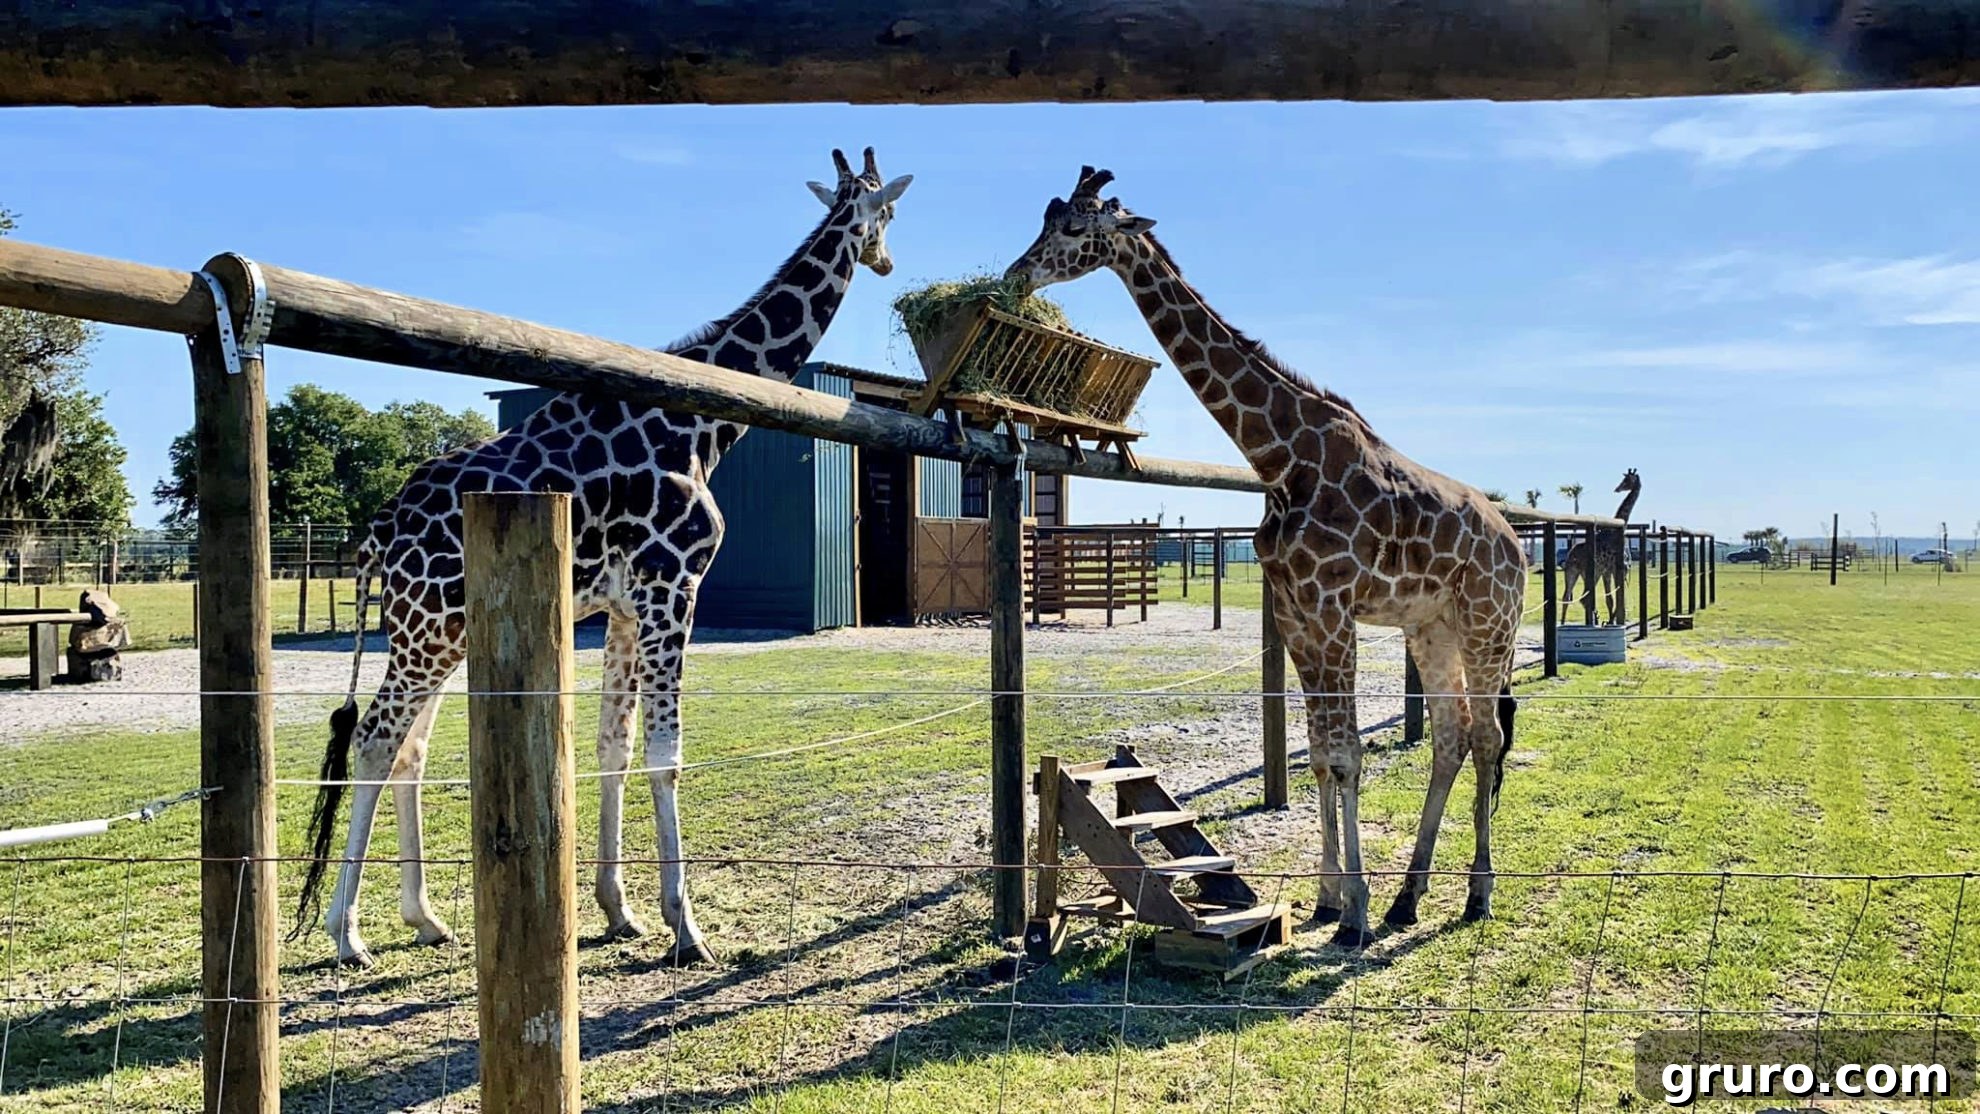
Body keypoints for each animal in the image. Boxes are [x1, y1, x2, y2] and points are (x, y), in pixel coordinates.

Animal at [292, 148, 913, 968]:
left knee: (408, 749)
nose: (886, 260)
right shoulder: (673, 585)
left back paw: (423, 919)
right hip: (425, 630)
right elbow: (665, 752)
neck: (702, 426)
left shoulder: (625, 605)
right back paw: (346, 933)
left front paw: (621, 909)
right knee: (373, 740)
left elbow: (612, 744)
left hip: (440, 632)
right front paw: (687, 927)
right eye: (890, 212)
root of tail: (379, 532)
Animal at [1003, 167, 1526, 945]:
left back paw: (1476, 896)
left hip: (1489, 620)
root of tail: (1516, 542)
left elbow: (1344, 755)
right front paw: (1330, 899)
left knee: (1488, 736)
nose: (1016, 274)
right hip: (1430, 625)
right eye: (1046, 217)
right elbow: (1318, 755)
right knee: (1451, 737)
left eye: (1073, 228)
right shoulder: (1298, 611)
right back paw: (1409, 899)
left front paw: (1353, 914)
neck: (1280, 458)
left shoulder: (1332, 609)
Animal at [1561, 468, 1640, 625]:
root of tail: (1572, 556)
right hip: (1591, 572)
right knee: (1584, 598)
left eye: (1627, 480)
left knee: (1567, 597)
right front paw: (1610, 621)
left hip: (1573, 571)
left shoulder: (1608, 571)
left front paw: (1609, 620)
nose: (1617, 489)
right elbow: (1616, 598)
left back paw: (1562, 623)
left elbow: (1611, 599)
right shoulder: (1615, 569)